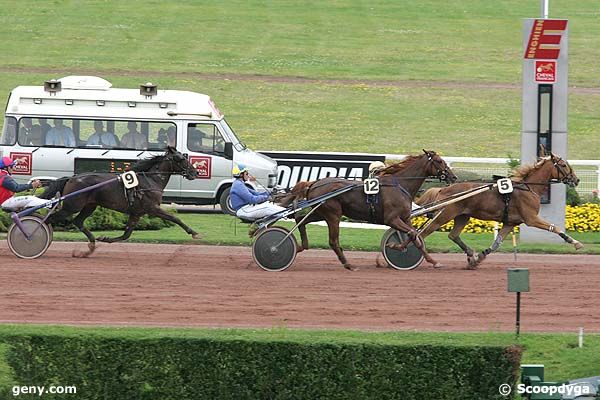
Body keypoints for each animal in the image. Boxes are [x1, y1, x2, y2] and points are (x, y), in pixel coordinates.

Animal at [42, 146, 202, 256]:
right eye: (181, 159)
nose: (195, 172)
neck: (151, 180)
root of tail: (71, 178)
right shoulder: (153, 208)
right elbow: (175, 218)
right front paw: (194, 233)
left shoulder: (136, 213)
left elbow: (126, 235)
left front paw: (105, 238)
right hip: (72, 206)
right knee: (49, 219)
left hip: (89, 206)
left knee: (78, 221)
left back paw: (92, 245)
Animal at [278, 151, 458, 272]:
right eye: (439, 161)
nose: (454, 177)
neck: (400, 185)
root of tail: (314, 184)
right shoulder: (391, 218)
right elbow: (414, 235)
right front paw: (400, 248)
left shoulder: (405, 218)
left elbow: (415, 236)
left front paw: (424, 257)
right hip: (332, 214)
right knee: (333, 241)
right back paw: (348, 264)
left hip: (320, 212)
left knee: (300, 219)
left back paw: (301, 246)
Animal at [418, 151, 580, 268]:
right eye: (563, 165)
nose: (576, 179)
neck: (529, 188)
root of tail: (443, 189)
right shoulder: (531, 219)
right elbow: (554, 227)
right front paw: (575, 242)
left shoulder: (510, 223)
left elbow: (497, 243)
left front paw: (478, 258)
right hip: (445, 214)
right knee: (422, 234)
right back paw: (429, 259)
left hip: (463, 216)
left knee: (453, 235)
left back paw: (469, 253)